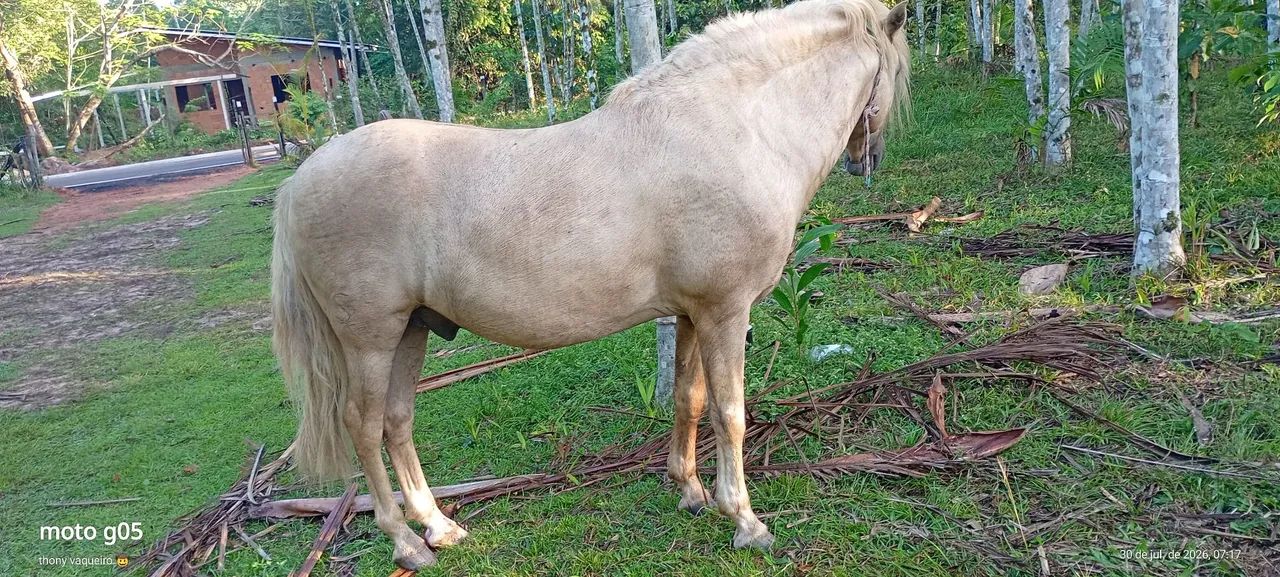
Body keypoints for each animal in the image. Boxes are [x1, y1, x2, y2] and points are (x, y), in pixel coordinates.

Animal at [270, 0, 910, 568]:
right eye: (896, 75)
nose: (869, 156)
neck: (736, 129)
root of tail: (299, 181)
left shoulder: (690, 313)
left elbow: (689, 398)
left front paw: (690, 491)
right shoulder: (725, 311)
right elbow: (729, 412)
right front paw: (745, 521)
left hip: (413, 330)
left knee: (396, 422)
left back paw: (438, 526)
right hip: (370, 339)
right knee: (362, 424)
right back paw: (405, 542)